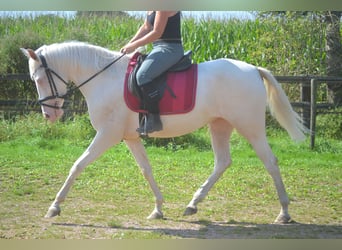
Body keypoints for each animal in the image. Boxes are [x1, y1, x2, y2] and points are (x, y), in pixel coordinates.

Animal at [20, 41, 308, 223]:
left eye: (39, 78)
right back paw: (192, 204)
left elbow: (78, 165)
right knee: (223, 162)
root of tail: (252, 69)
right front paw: (158, 208)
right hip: (219, 125)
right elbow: (146, 170)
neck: (104, 78)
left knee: (270, 162)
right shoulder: (130, 137)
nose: (49, 116)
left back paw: (284, 213)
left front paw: (54, 207)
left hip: (250, 127)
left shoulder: (107, 135)